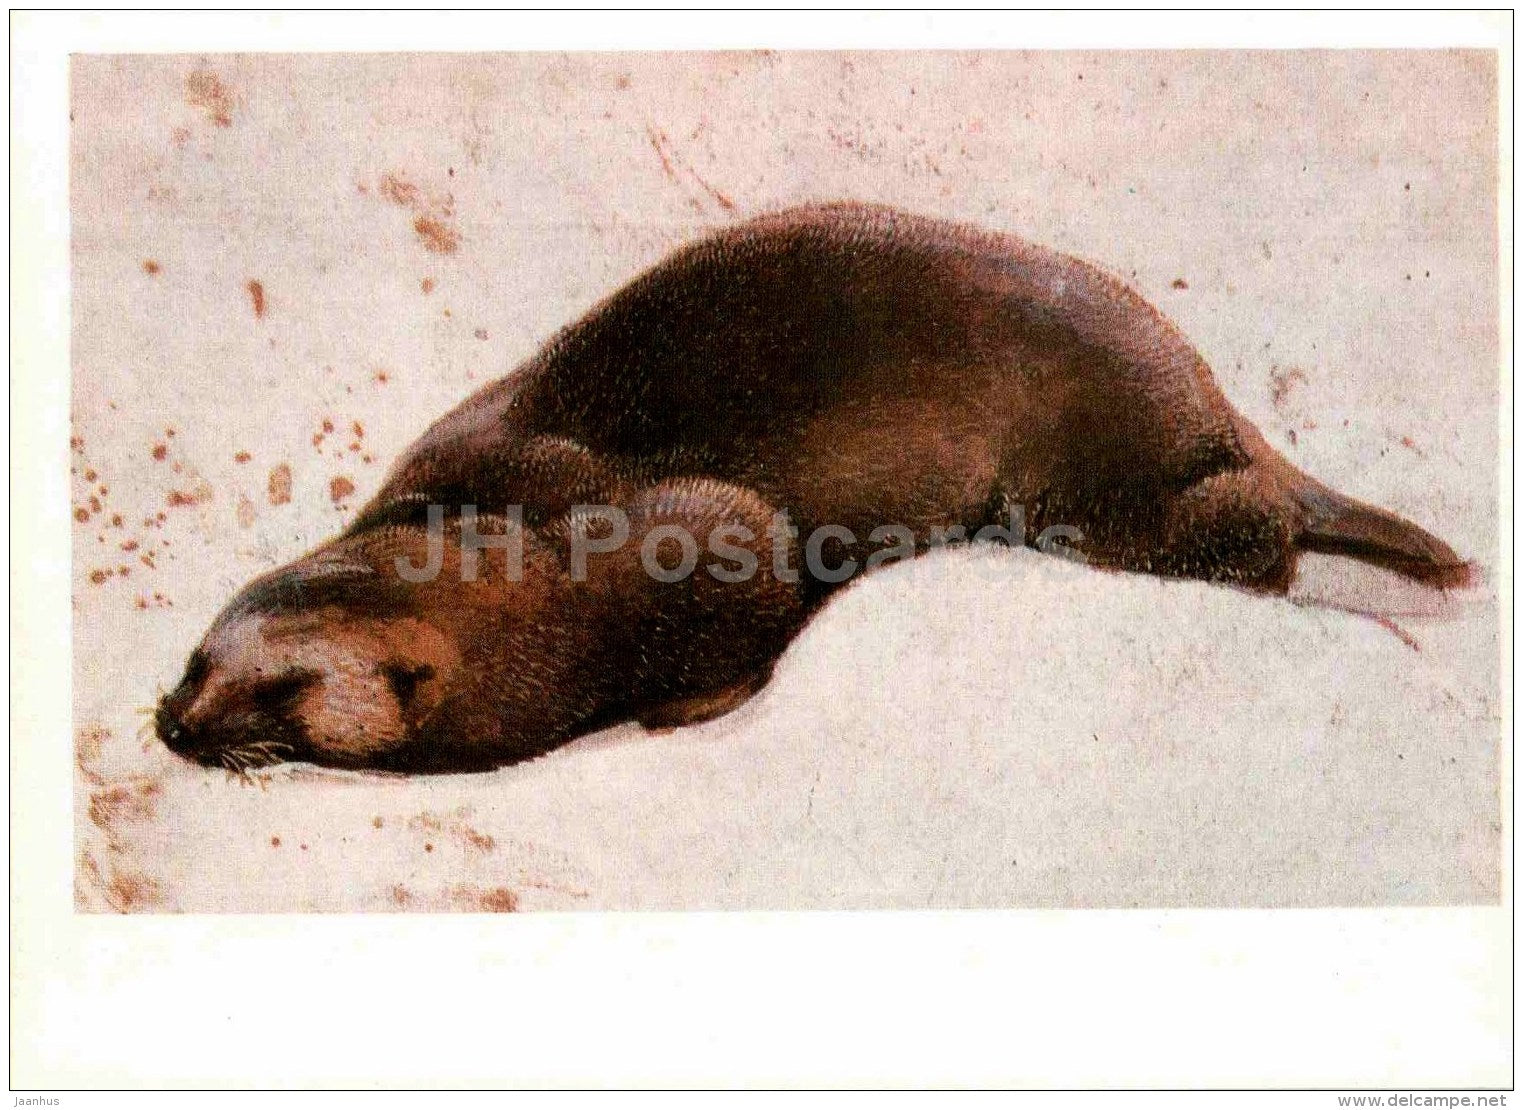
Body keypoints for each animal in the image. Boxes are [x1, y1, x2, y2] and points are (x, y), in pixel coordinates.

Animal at [156, 202, 1471, 774]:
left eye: (281, 688)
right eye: (198, 656)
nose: (173, 724)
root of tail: (1200, 385)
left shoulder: (708, 539)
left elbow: (752, 590)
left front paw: (682, 709)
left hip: (1104, 480)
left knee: (1246, 524)